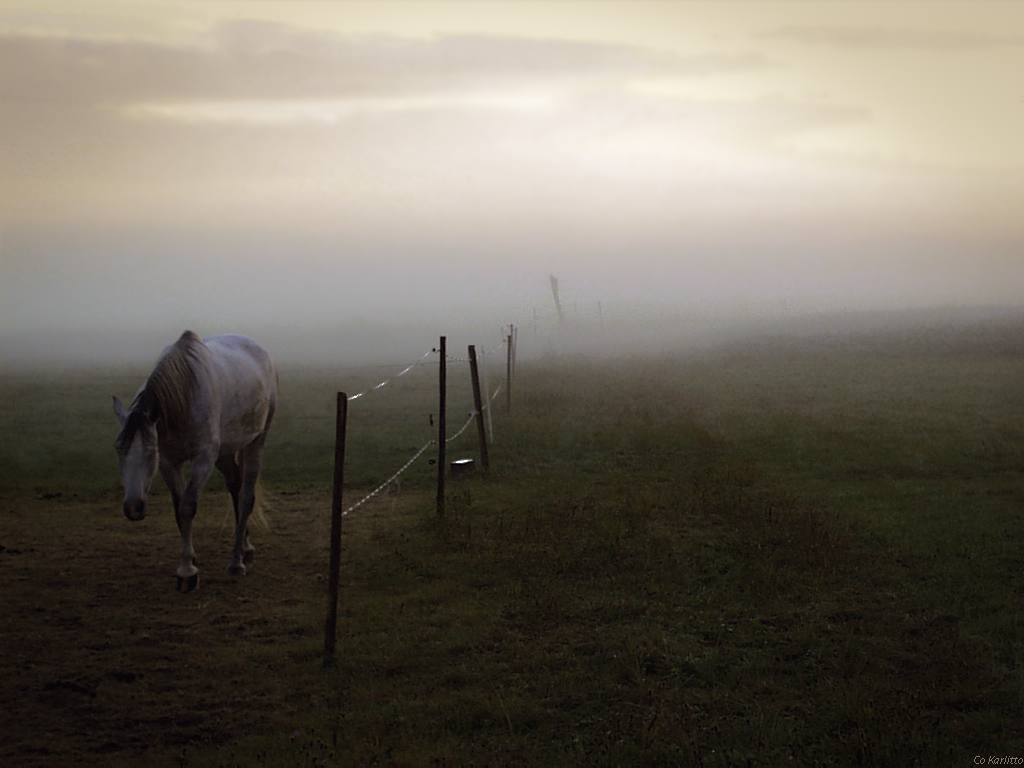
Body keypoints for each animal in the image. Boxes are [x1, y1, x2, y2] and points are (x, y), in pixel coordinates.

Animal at [113, 331, 276, 593]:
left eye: (149, 452)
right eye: (119, 450)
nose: (133, 508)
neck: (185, 396)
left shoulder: (203, 459)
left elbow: (188, 507)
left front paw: (187, 573)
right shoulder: (169, 462)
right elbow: (178, 510)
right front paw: (190, 561)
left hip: (255, 442)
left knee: (245, 497)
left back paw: (236, 562)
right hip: (225, 453)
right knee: (235, 487)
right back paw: (245, 547)